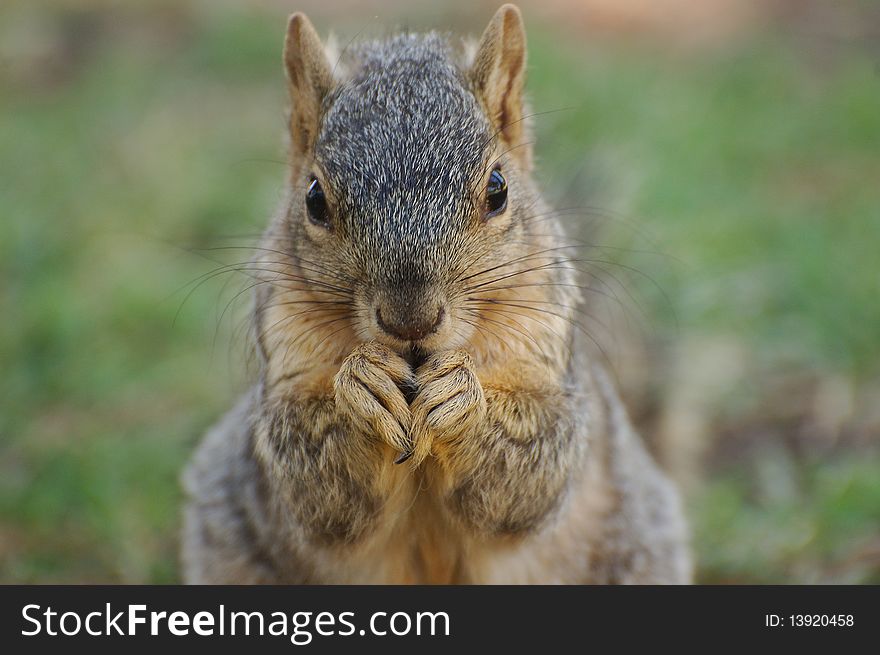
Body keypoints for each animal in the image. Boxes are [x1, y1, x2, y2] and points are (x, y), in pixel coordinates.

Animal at [180, 5, 696, 584]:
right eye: (314, 199)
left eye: (498, 189)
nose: (411, 320)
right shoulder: (286, 344)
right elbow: (316, 488)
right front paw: (363, 386)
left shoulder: (544, 347)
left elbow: (532, 471)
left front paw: (461, 399)